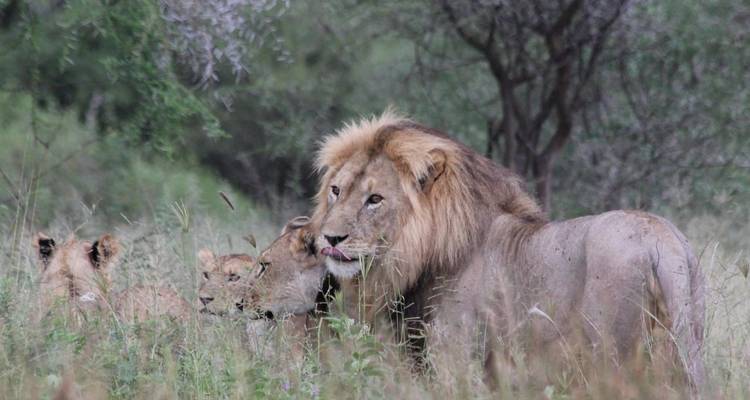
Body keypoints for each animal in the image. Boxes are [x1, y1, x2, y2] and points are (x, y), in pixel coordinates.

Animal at [311, 112, 706, 391]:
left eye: (375, 199)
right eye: (335, 190)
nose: (329, 238)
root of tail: (662, 240)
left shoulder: (456, 357)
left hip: (613, 357)